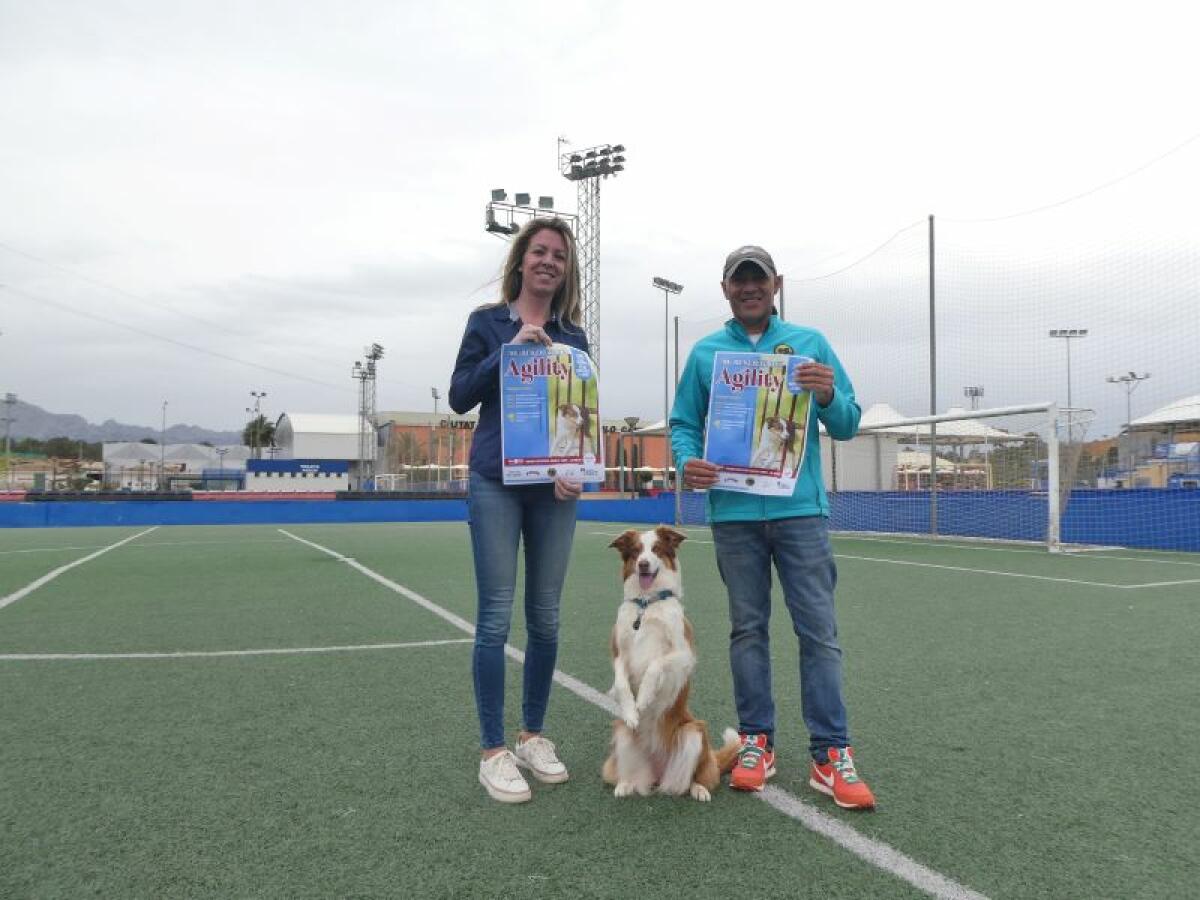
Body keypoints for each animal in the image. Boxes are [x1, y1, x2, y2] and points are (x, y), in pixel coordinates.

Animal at [600, 528, 739, 801]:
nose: (643, 564)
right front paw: (632, 711)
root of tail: (657, 769)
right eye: (636, 551)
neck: (646, 604)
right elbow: (621, 684)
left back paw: (699, 789)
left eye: (655, 549)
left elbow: (655, 664)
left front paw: (644, 698)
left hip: (694, 732)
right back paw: (626, 784)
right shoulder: (619, 654)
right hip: (622, 735)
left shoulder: (684, 655)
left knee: (695, 778)